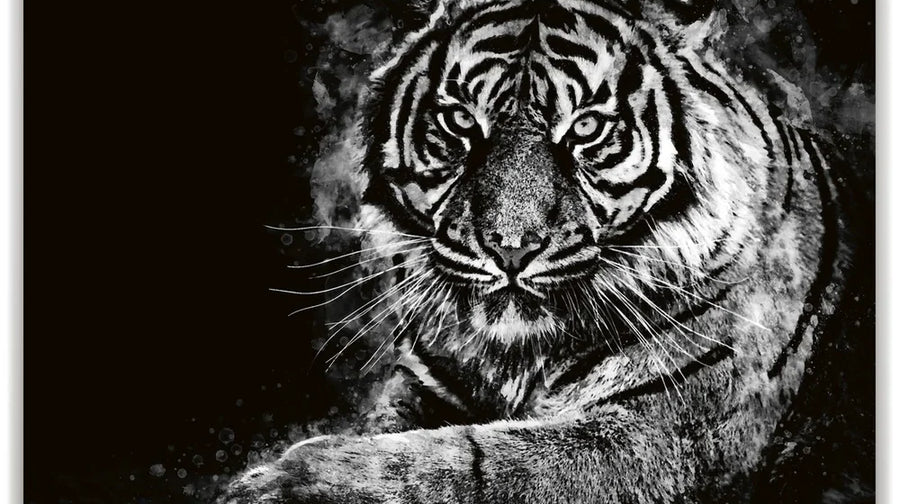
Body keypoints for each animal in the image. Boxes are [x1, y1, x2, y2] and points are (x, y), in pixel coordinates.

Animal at [220, 0, 873, 502]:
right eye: (461, 122)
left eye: (585, 128)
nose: (511, 250)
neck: (515, 356)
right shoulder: (426, 385)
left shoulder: (661, 432)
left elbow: (475, 460)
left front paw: (283, 481)